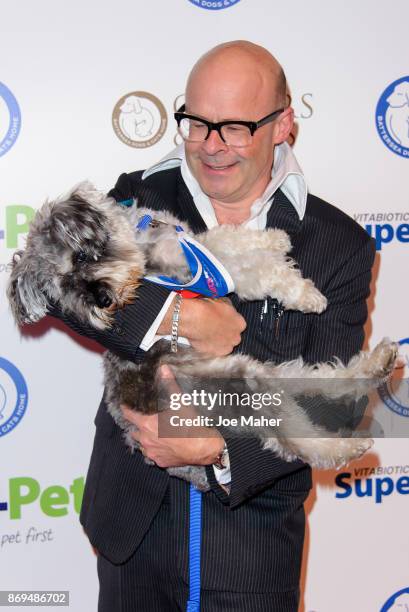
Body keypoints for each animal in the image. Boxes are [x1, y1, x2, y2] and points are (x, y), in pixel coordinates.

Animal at [6, 182, 396, 492]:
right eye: (64, 287)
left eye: (82, 257)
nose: (102, 301)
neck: (140, 238)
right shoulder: (205, 269)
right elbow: (255, 270)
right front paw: (305, 293)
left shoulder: (195, 245)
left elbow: (227, 234)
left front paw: (274, 238)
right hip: (243, 387)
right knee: (294, 442)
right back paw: (348, 447)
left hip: (256, 373)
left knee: (320, 382)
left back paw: (379, 364)